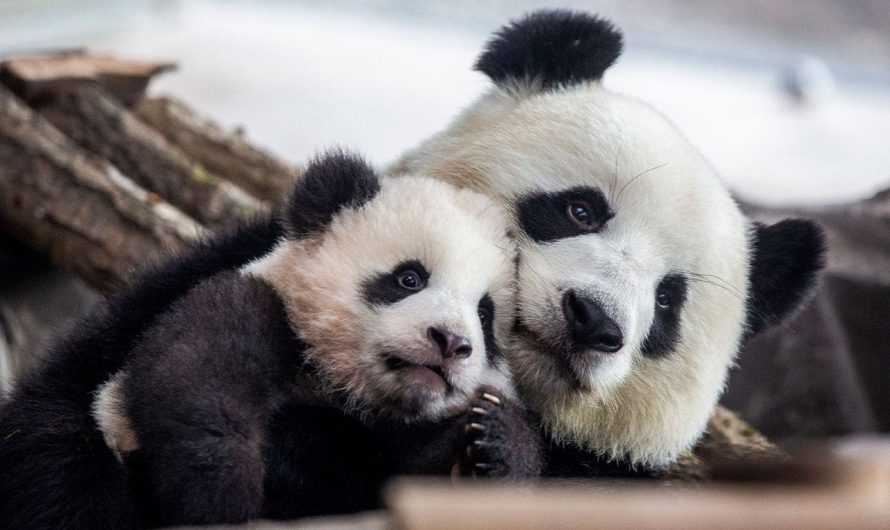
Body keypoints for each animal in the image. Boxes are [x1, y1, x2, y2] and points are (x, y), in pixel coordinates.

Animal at [0, 151, 536, 524]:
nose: (450, 342)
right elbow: (195, 371)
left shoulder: (392, 441)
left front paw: (491, 441)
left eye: (484, 314)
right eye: (409, 278)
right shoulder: (255, 306)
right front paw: (221, 496)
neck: (344, 390)